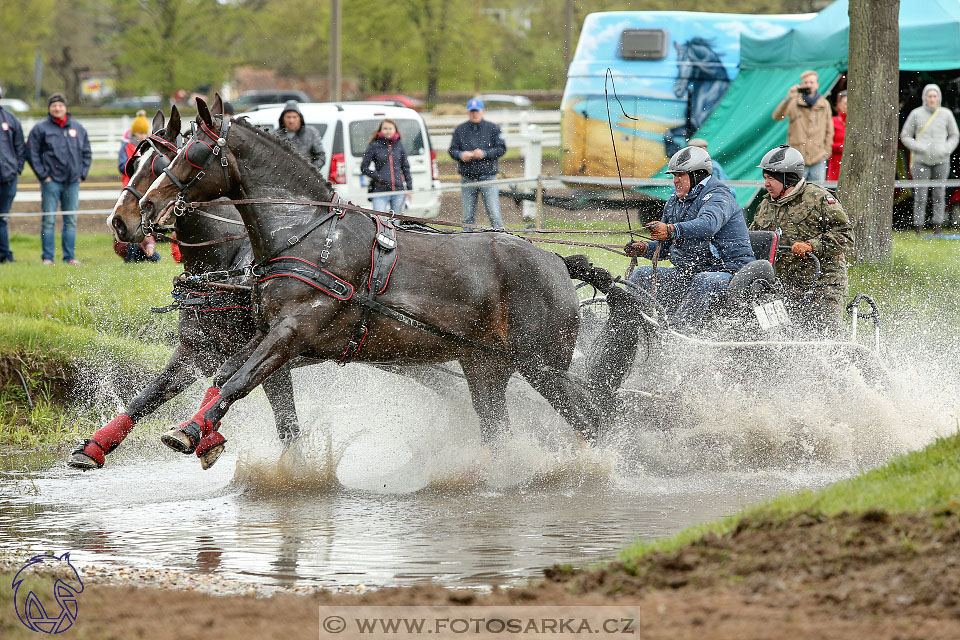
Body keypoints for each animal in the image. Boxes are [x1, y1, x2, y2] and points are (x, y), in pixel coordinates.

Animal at [134, 97, 596, 470]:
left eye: (192, 154)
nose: (145, 206)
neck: (306, 234)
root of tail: (557, 261)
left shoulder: (292, 331)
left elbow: (238, 381)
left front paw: (192, 432)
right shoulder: (265, 332)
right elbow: (225, 374)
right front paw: (199, 432)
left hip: (541, 364)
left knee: (589, 418)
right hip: (486, 366)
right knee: (499, 425)